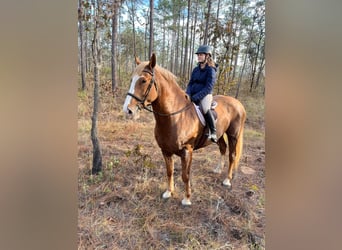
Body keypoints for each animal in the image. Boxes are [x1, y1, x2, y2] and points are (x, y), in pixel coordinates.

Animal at [123, 52, 246, 205]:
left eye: (143, 81)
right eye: (131, 80)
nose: (128, 110)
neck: (175, 117)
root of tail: (238, 103)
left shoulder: (187, 151)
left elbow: (185, 175)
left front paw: (187, 199)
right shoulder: (165, 151)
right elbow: (169, 172)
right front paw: (169, 192)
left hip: (233, 135)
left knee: (232, 155)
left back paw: (227, 180)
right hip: (219, 135)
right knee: (223, 148)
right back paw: (218, 169)